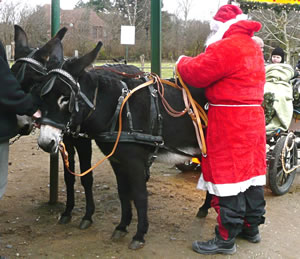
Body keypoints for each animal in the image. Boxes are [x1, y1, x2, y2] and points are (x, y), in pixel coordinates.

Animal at [10, 25, 96, 231]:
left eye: (35, 83)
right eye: (12, 75)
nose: (19, 123)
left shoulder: (83, 142)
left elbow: (86, 177)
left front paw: (88, 215)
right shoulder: (66, 141)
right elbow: (69, 176)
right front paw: (67, 212)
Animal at [34, 41, 209, 251]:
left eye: (65, 99)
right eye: (42, 97)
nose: (45, 143)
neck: (120, 109)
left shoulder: (134, 162)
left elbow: (140, 195)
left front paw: (139, 234)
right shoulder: (117, 160)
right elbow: (123, 193)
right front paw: (122, 226)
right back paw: (204, 209)